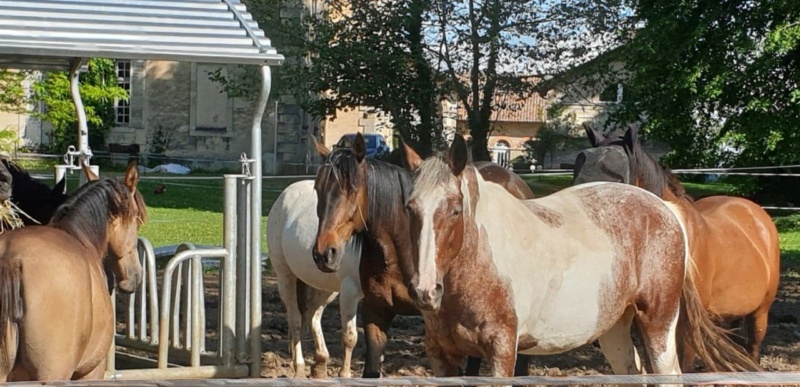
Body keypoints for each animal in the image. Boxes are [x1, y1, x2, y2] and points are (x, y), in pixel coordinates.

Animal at [404, 135, 760, 384]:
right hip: (615, 328)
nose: (426, 291)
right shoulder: (442, 356)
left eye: (454, 209)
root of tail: (666, 210)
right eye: (410, 208)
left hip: (659, 324)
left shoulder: (501, 352)